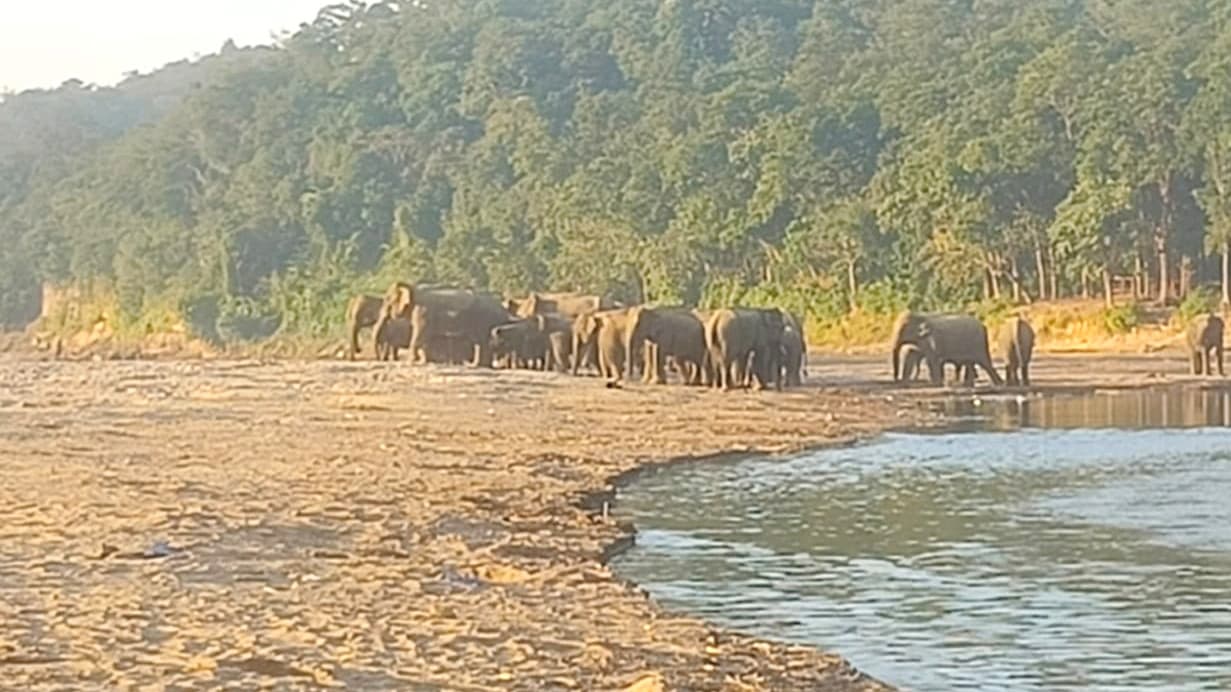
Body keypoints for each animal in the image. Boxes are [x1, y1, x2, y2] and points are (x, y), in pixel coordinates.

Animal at [371, 280, 512, 366]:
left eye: (386, 300)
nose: (379, 359)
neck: (413, 287)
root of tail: (502, 307)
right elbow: (425, 338)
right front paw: (424, 361)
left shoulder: (423, 311)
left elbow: (419, 335)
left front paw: (410, 362)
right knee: (479, 343)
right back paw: (476, 365)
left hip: (484, 319)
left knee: (482, 342)